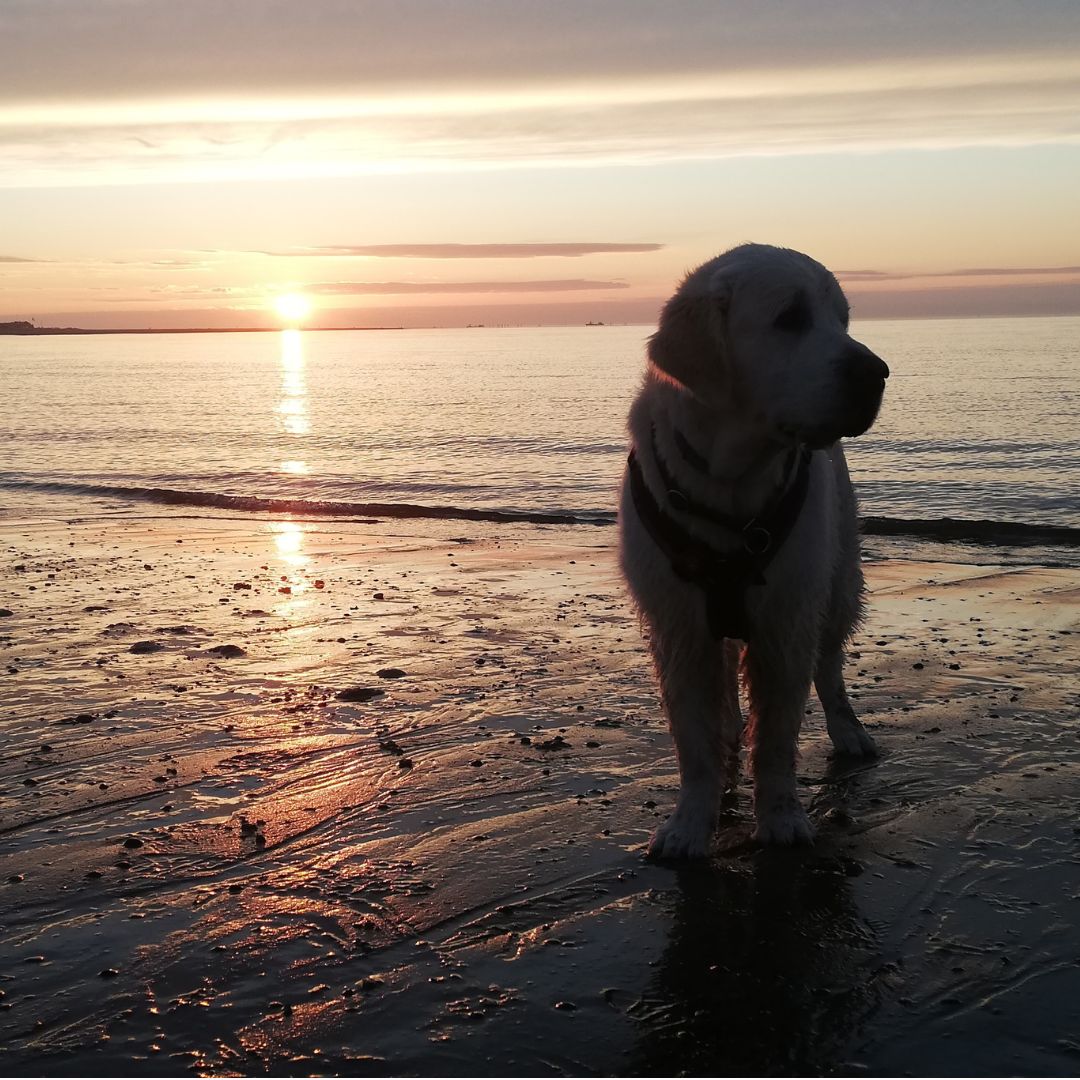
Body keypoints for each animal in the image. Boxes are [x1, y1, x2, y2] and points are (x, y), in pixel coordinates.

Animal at [622, 243, 889, 851]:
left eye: (843, 320)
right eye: (790, 317)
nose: (877, 373)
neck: (730, 480)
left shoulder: (786, 617)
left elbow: (776, 737)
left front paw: (783, 820)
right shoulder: (679, 626)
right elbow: (694, 739)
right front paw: (689, 824)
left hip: (838, 584)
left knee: (829, 667)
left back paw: (850, 732)